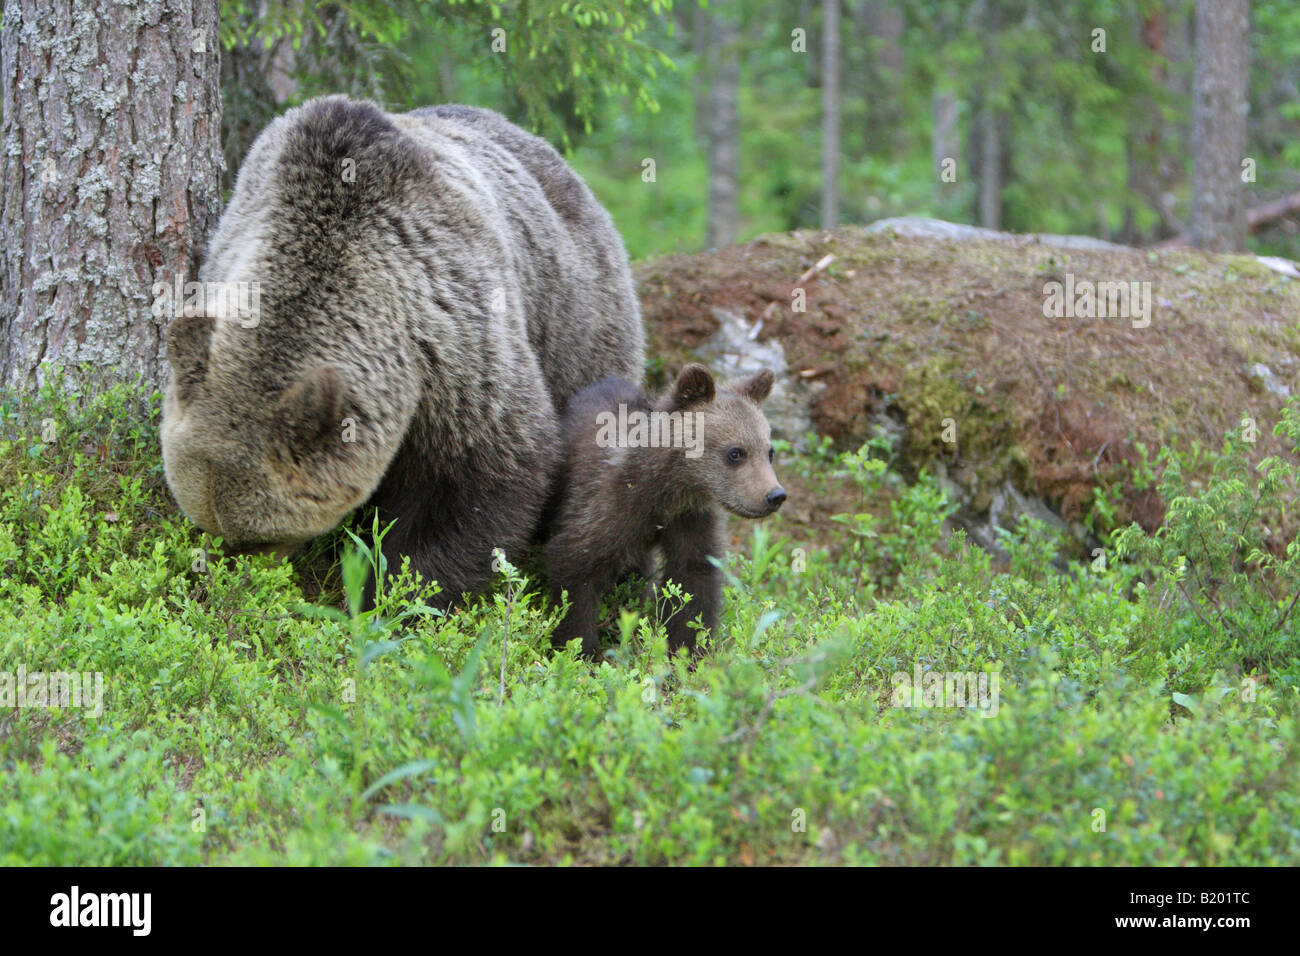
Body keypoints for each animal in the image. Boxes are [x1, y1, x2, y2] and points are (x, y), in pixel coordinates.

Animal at [161, 96, 644, 607]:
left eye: (258, 536)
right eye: (209, 525)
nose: (230, 581)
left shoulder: (451, 337)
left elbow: (483, 473)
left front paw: (395, 592)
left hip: (577, 322)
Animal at [546, 363, 786, 658]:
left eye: (769, 451)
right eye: (736, 452)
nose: (774, 495)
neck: (670, 492)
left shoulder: (691, 520)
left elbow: (693, 582)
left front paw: (688, 652)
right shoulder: (609, 504)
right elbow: (574, 568)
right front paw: (579, 650)